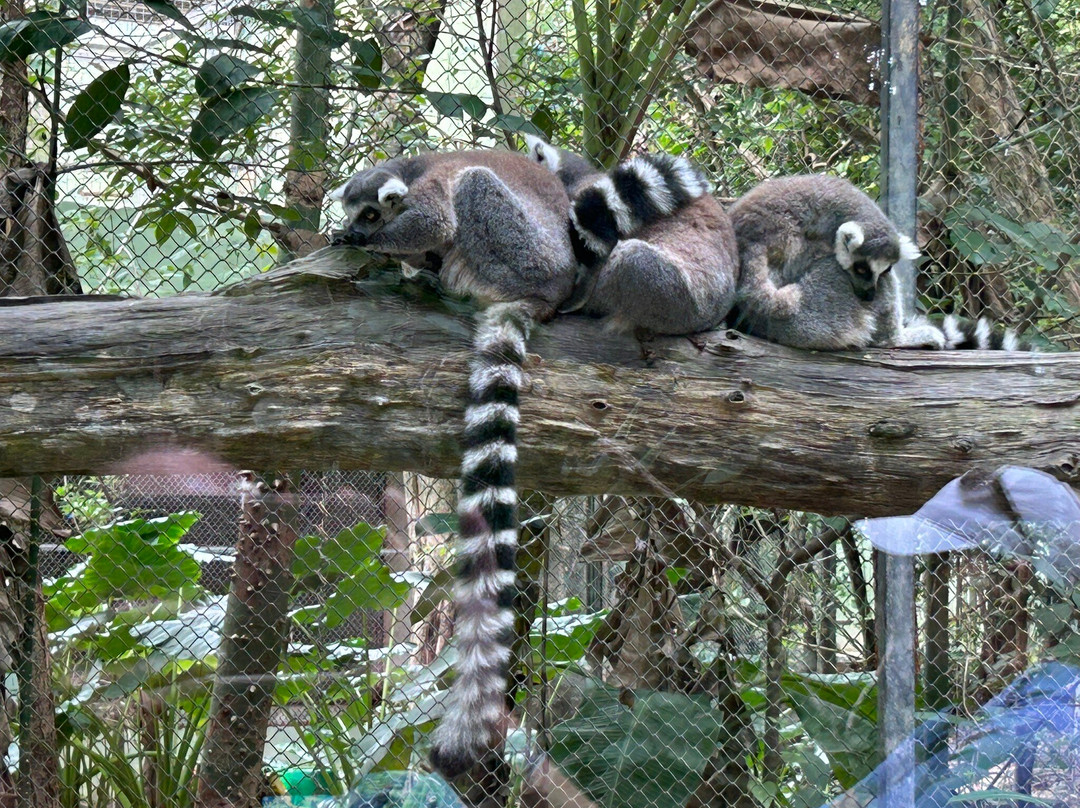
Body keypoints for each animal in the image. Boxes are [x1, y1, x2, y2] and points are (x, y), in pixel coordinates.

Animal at [330, 149, 579, 778]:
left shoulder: (431, 193)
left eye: (373, 213)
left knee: (474, 188)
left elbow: (436, 221)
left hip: (518, 251)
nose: (362, 230)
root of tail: (550, 291)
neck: (411, 168)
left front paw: (372, 244)